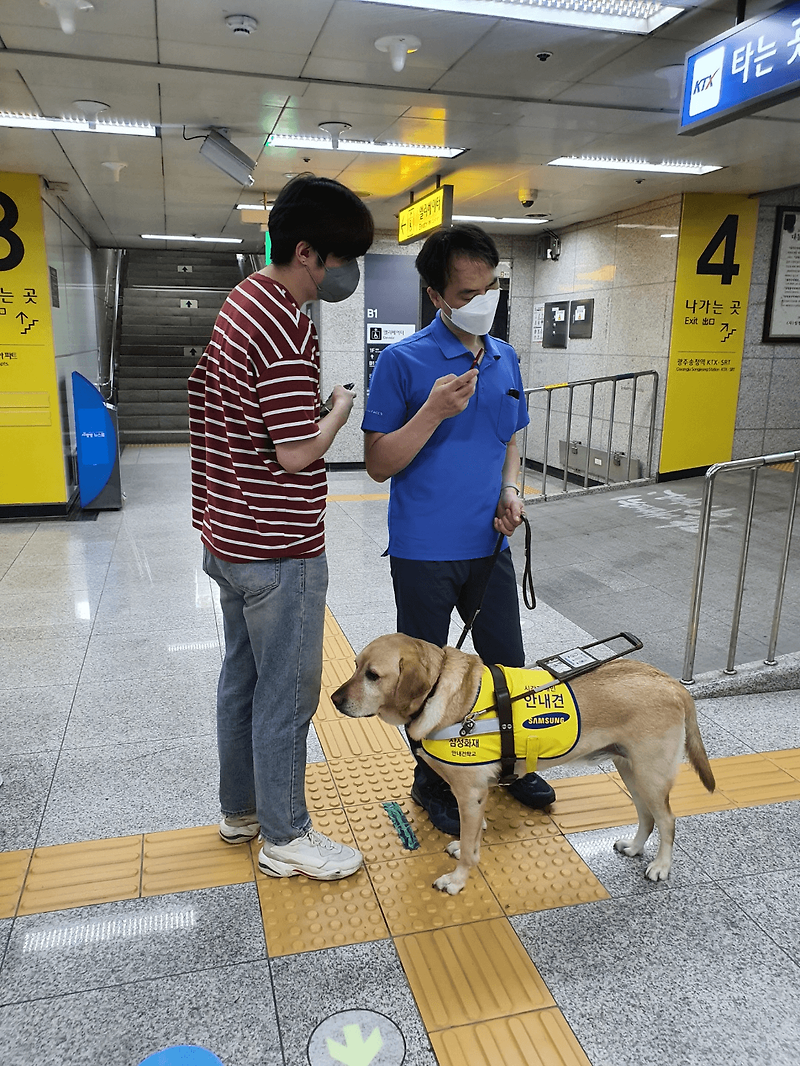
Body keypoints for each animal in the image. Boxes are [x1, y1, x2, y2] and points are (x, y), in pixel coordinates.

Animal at [328, 635, 716, 895]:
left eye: (373, 675)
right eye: (355, 667)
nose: (333, 699)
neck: (440, 692)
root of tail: (671, 683)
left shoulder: (470, 793)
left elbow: (469, 845)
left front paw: (457, 879)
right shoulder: (476, 795)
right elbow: (472, 835)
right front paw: (464, 850)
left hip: (650, 775)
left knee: (667, 819)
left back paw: (661, 866)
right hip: (630, 771)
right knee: (647, 816)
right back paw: (635, 847)